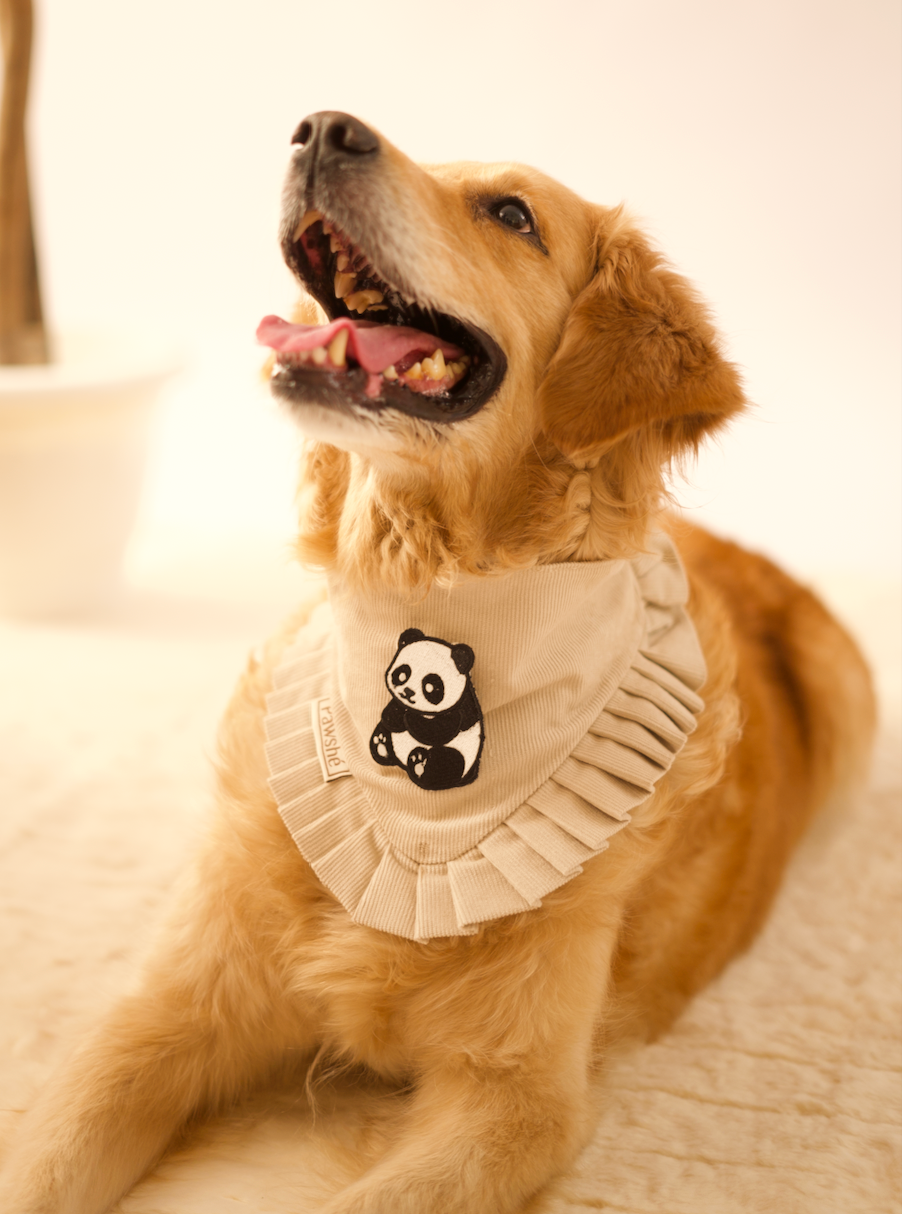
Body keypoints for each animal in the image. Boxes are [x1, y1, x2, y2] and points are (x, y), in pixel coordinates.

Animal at [369, 628, 484, 791]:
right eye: (402, 674)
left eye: (430, 686)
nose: (408, 692)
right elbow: (391, 717)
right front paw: (397, 714)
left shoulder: (461, 708)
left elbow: (437, 731)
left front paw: (409, 717)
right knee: (384, 732)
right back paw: (381, 743)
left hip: (462, 752)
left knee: (446, 762)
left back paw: (420, 764)